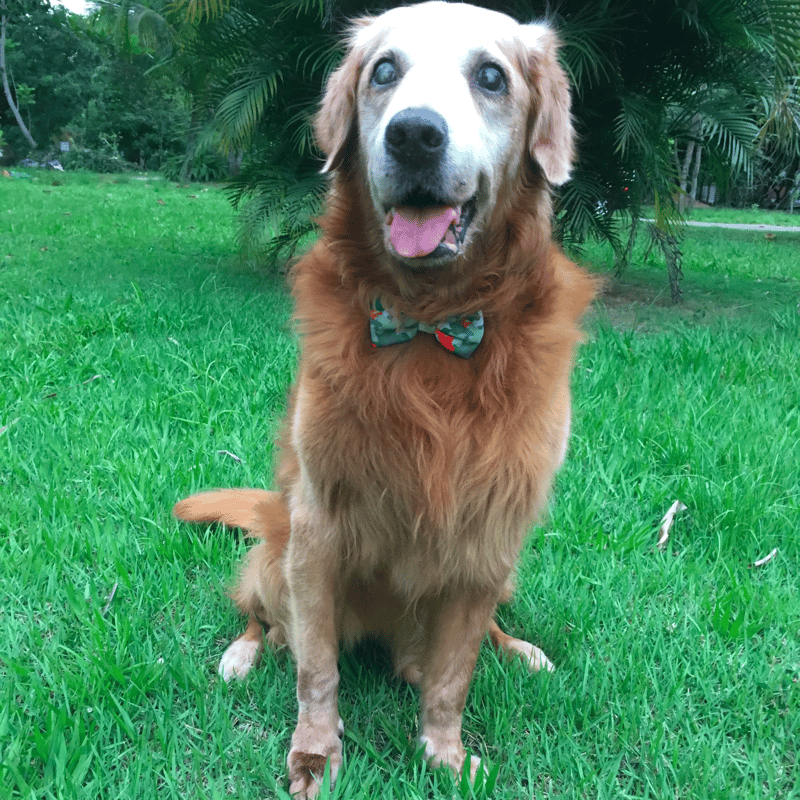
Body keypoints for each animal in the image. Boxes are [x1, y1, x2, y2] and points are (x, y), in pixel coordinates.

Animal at [172, 3, 592, 796]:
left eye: (492, 76)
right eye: (385, 71)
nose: (414, 134)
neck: (430, 324)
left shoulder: (488, 538)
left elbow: (453, 678)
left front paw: (445, 755)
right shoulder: (317, 532)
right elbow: (317, 671)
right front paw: (315, 755)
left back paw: (518, 650)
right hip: (276, 553)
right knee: (263, 619)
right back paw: (243, 654)